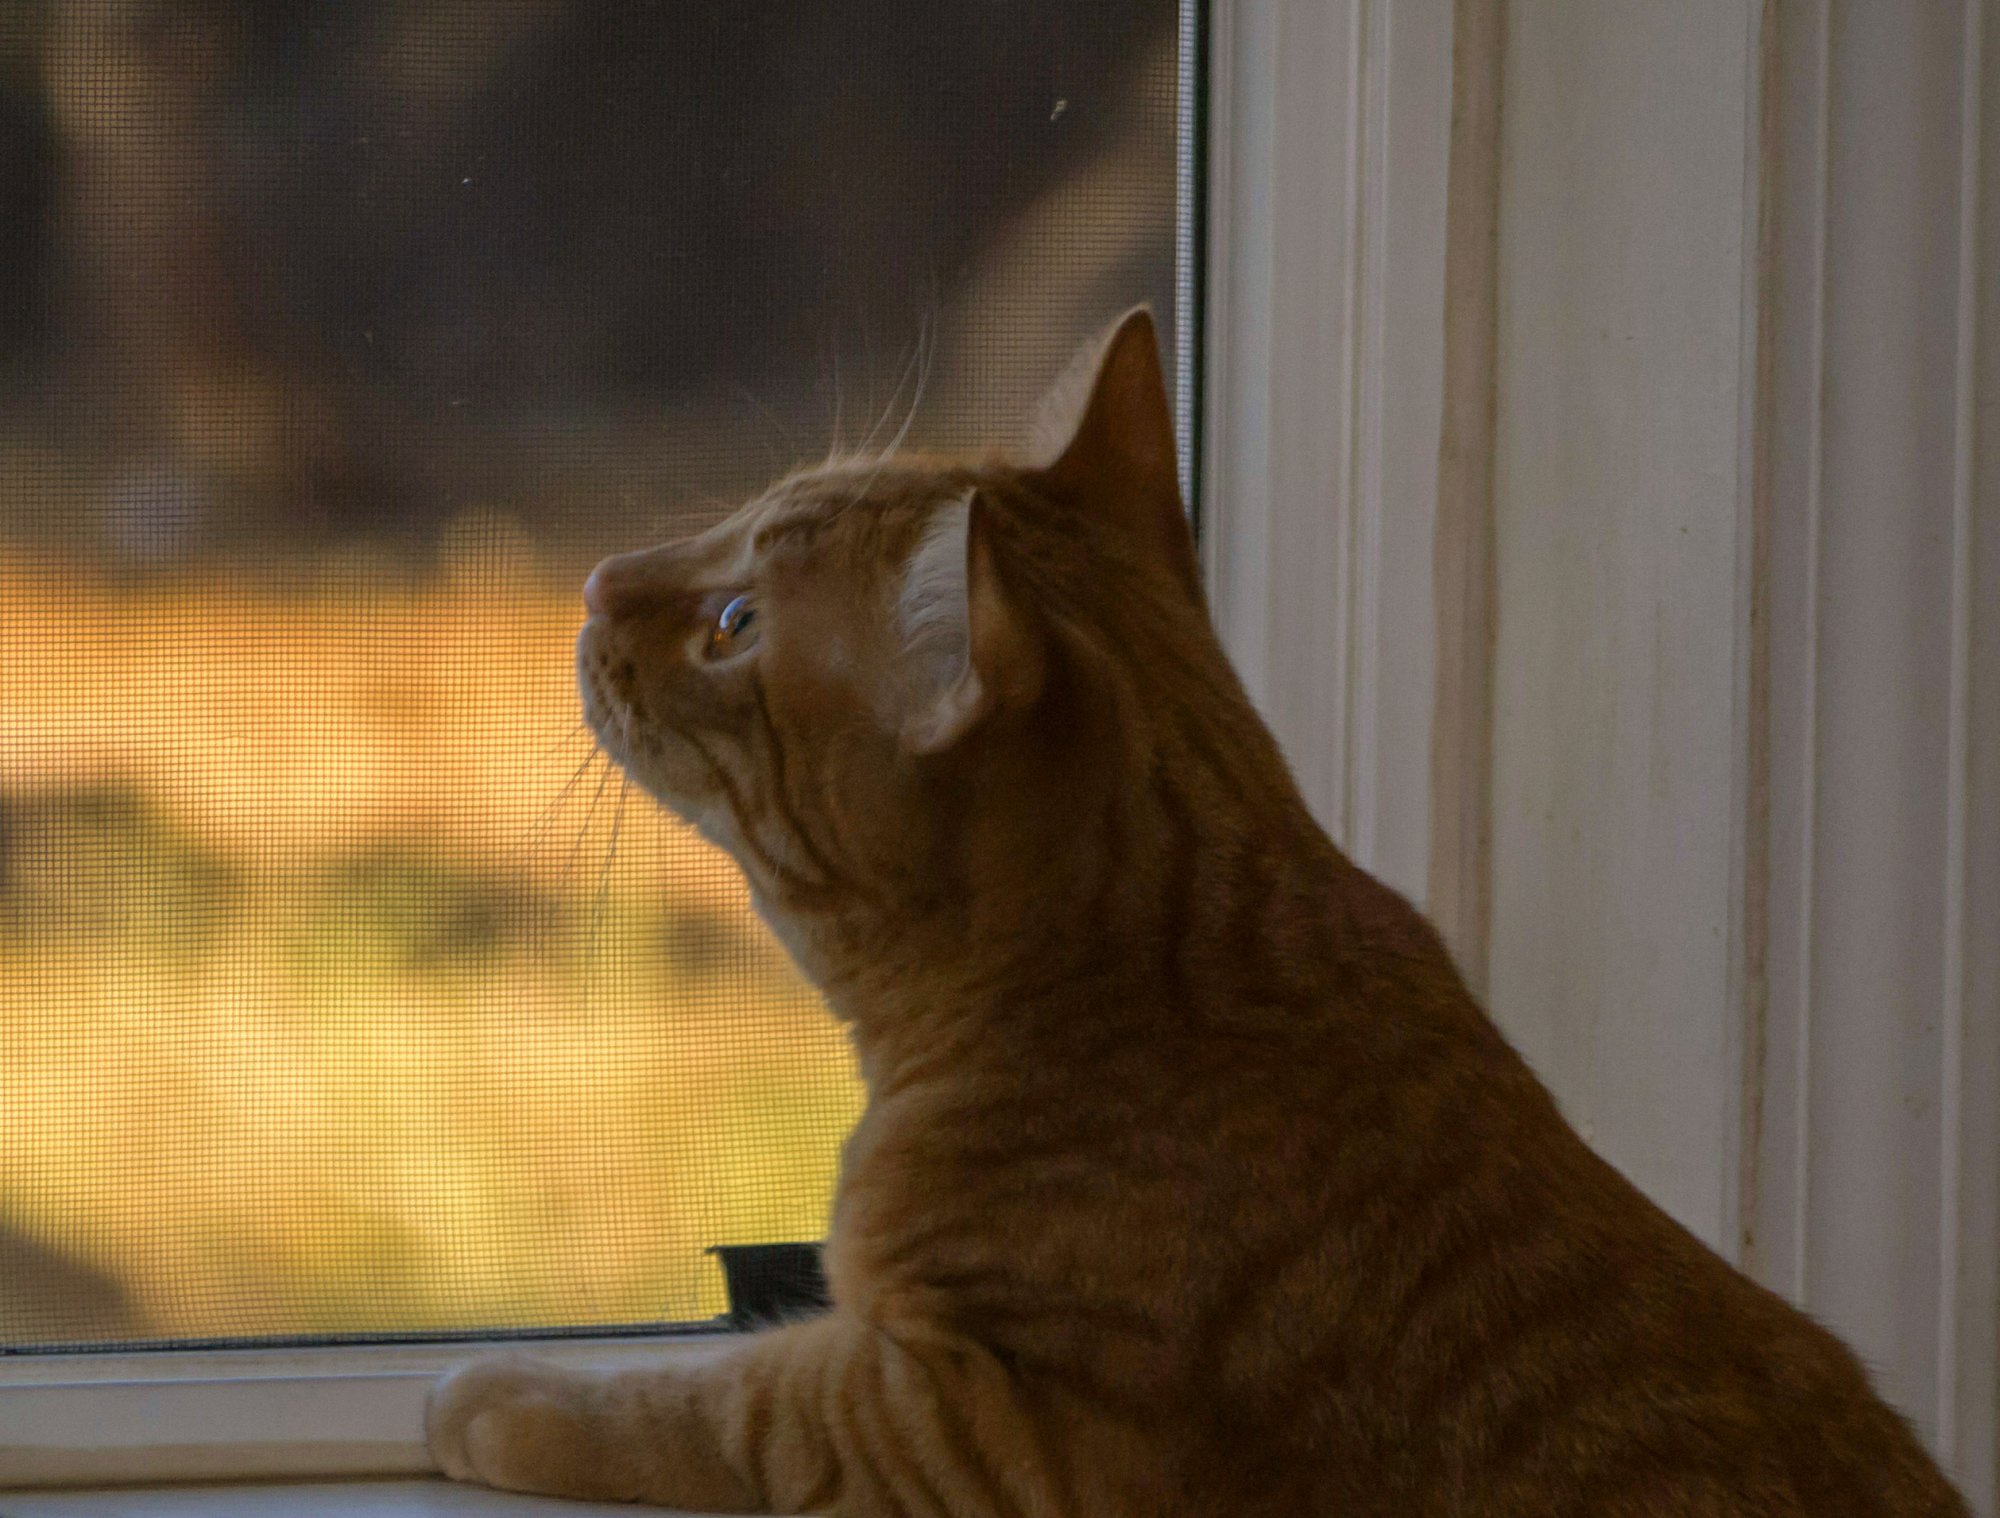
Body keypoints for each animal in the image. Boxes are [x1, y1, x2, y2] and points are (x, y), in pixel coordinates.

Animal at [426, 312, 1968, 1518]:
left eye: (736, 624)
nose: (594, 583)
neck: (1167, 983)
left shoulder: (968, 1424)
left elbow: (729, 1401)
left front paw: (502, 1392)